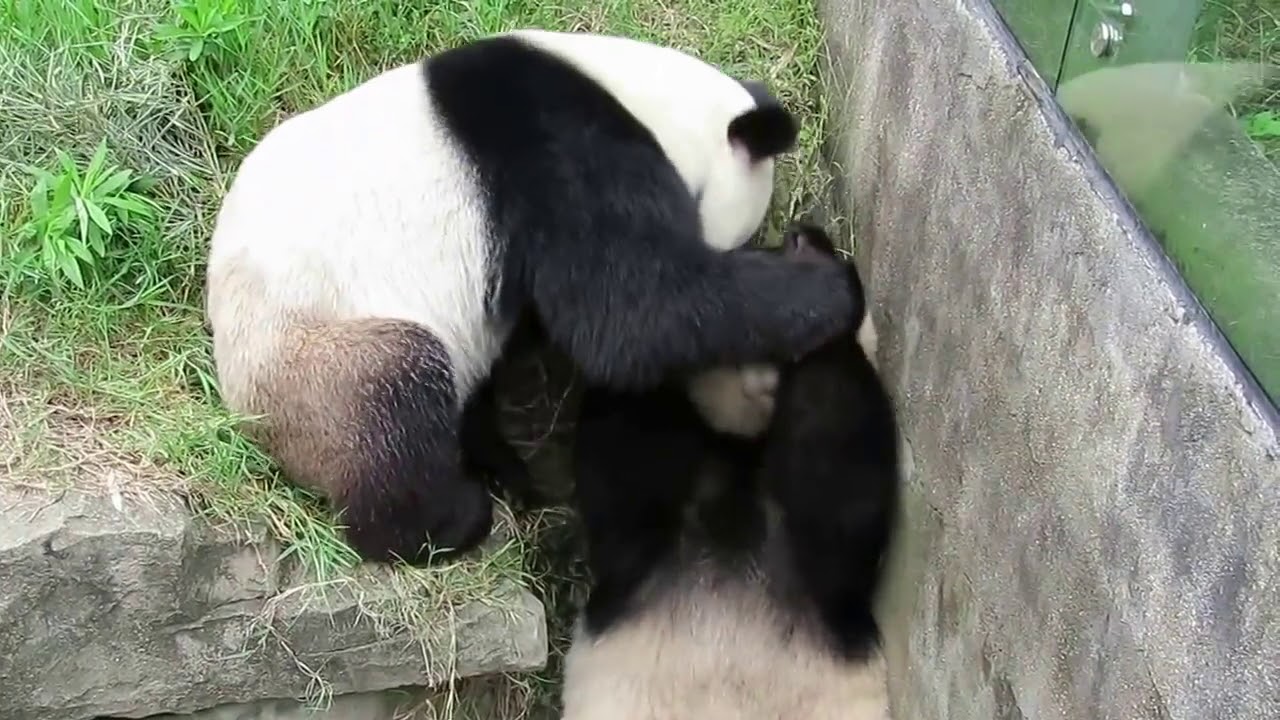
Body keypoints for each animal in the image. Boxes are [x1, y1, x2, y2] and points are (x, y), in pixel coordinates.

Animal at [203, 29, 862, 565]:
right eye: (738, 238)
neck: (648, 99)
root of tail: (246, 418)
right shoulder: (555, 147)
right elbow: (630, 310)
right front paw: (829, 283)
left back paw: (504, 472)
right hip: (314, 350)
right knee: (391, 401)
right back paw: (449, 522)